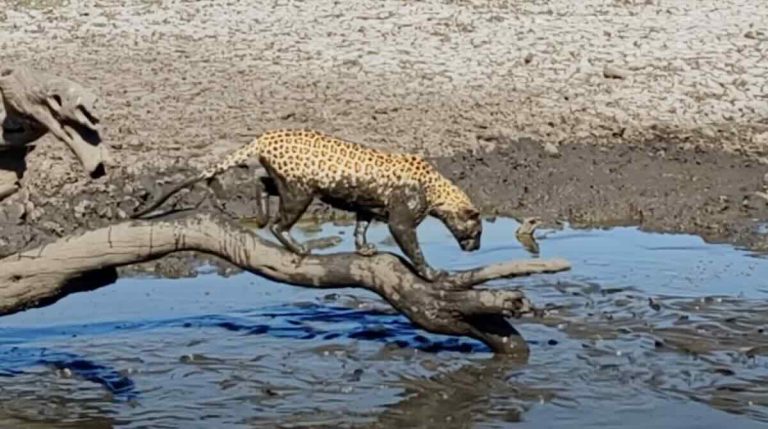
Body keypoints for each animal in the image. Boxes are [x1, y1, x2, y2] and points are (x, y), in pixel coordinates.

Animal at [131, 129, 482, 281]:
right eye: (478, 230)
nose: (477, 246)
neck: (437, 190)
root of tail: (267, 135)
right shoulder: (401, 221)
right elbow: (414, 249)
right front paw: (431, 273)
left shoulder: (366, 207)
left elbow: (360, 227)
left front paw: (364, 250)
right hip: (300, 193)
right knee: (279, 224)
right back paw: (298, 248)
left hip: (286, 184)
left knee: (261, 183)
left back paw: (260, 213)